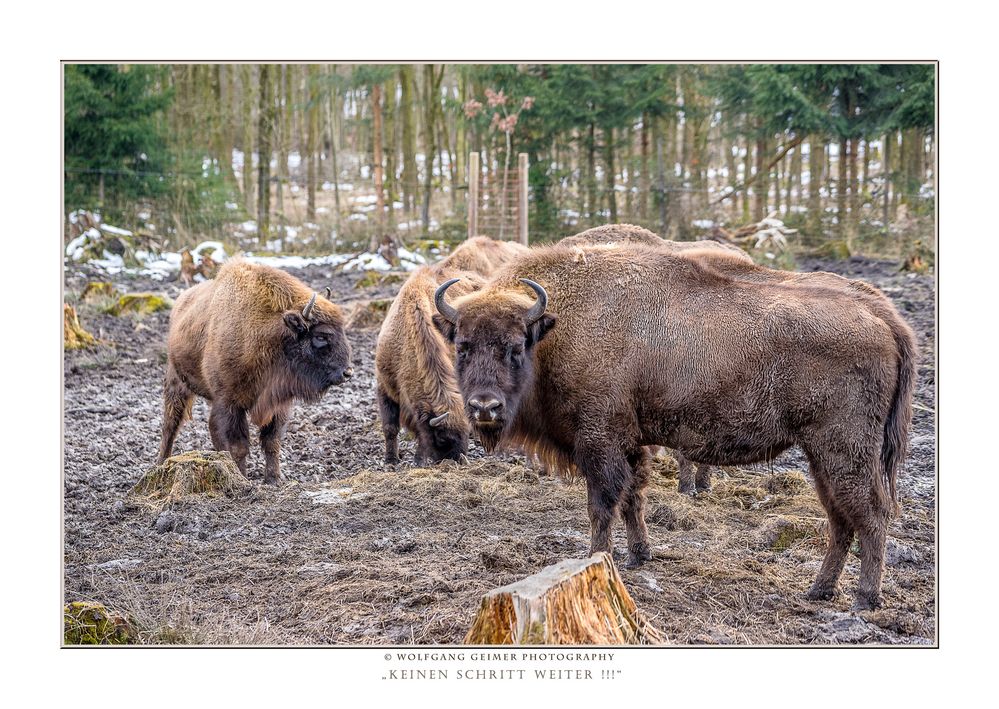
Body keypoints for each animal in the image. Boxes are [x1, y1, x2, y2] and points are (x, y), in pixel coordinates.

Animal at [158, 258, 354, 484]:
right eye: (321, 336)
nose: (347, 373)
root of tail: (180, 304)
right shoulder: (230, 403)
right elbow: (238, 446)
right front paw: (242, 478)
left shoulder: (278, 404)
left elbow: (272, 442)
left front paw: (274, 478)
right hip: (176, 383)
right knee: (170, 426)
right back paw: (161, 462)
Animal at [434, 243, 916, 608]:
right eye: (462, 345)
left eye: (515, 347)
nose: (484, 406)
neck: (558, 327)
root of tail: (882, 315)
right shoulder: (631, 443)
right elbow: (633, 498)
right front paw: (638, 556)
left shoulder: (600, 442)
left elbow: (602, 505)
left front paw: (596, 560)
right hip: (822, 457)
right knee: (840, 519)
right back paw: (819, 590)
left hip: (844, 450)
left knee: (871, 514)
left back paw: (864, 598)